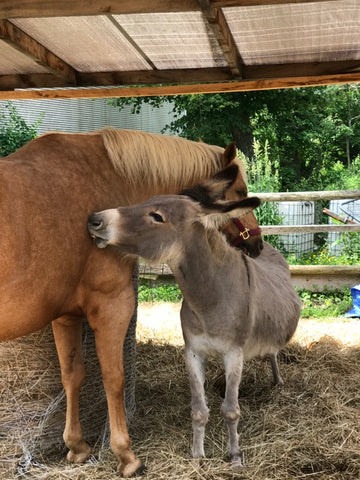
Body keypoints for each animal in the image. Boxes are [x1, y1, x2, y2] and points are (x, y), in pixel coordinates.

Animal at [0, 127, 262, 476]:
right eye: (241, 190)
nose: (258, 243)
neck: (105, 172)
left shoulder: (65, 316)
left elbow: (72, 376)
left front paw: (77, 446)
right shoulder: (113, 305)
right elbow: (114, 378)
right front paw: (126, 455)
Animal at [88, 163, 300, 470]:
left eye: (157, 217)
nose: (94, 219)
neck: (209, 298)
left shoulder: (233, 353)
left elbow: (231, 410)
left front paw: (235, 456)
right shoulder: (193, 352)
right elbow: (199, 410)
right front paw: (198, 455)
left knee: (272, 353)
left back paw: (278, 381)